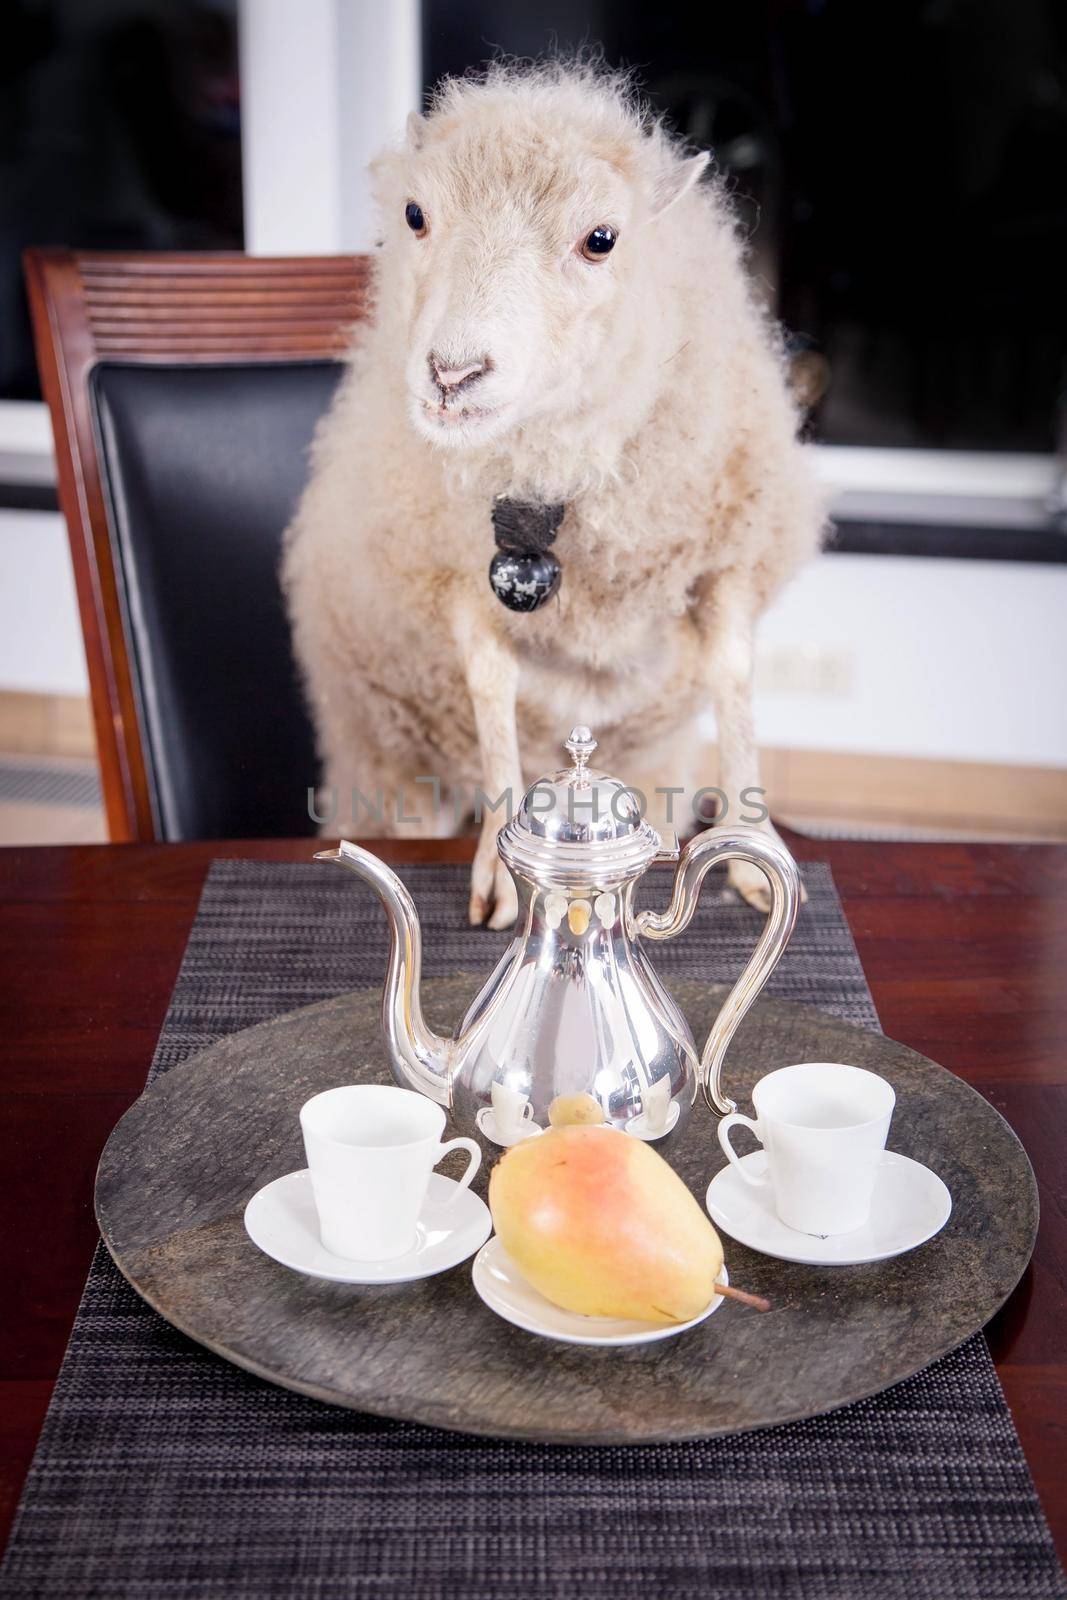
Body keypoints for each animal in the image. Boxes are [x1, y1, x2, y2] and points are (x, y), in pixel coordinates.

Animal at [279, 62, 825, 934]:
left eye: (600, 239)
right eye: (414, 214)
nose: (452, 374)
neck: (550, 468)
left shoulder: (731, 552)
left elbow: (735, 683)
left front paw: (751, 849)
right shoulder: (453, 581)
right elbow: (490, 691)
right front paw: (504, 864)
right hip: (385, 751)